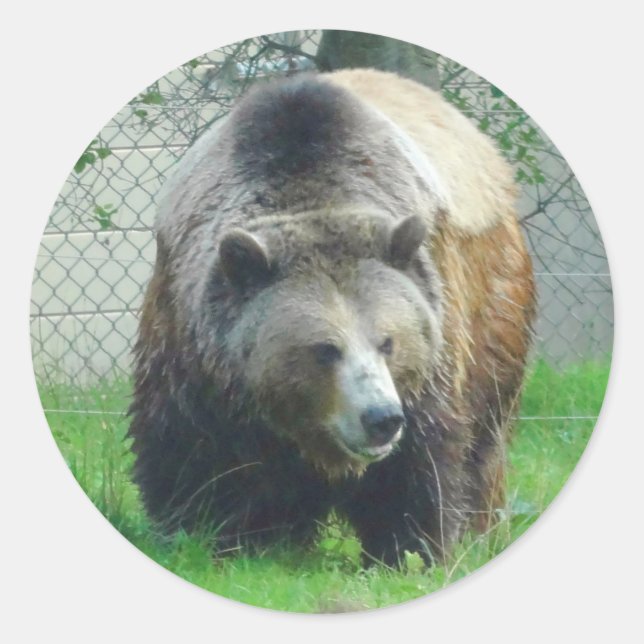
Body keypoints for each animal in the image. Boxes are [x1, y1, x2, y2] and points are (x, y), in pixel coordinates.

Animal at [128, 68, 536, 567]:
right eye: (325, 349)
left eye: (388, 342)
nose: (380, 418)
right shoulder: (190, 345)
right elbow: (186, 454)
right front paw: (202, 534)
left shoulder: (434, 348)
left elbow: (419, 464)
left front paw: (409, 548)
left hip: (496, 308)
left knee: (485, 440)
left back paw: (480, 531)